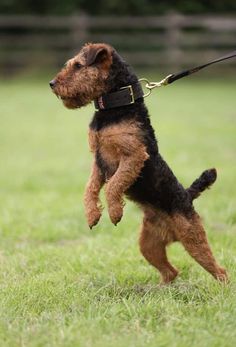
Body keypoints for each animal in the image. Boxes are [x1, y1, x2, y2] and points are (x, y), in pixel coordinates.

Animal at [50, 42, 229, 284]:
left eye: (78, 65)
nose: (52, 84)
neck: (116, 107)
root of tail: (187, 195)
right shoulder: (98, 160)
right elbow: (90, 189)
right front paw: (92, 215)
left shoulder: (132, 156)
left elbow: (113, 186)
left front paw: (115, 213)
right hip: (148, 245)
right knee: (170, 271)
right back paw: (160, 289)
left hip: (193, 238)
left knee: (220, 271)